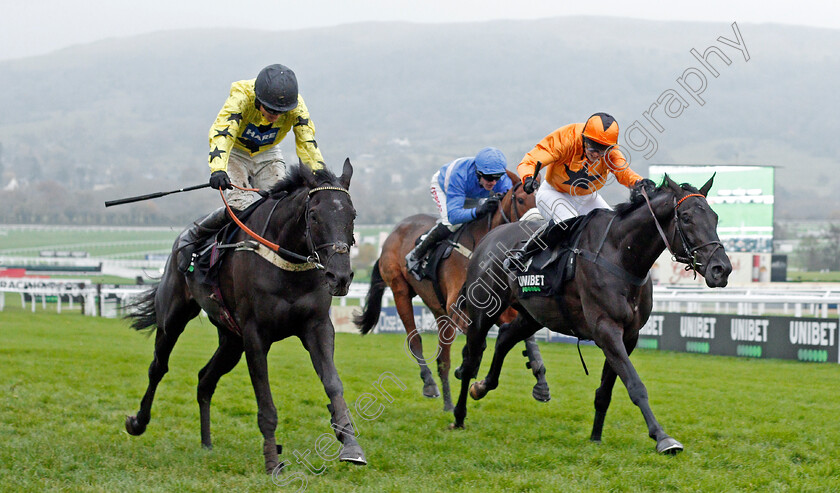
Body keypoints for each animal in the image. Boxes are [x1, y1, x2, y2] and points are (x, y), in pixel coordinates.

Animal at [124, 159, 364, 472]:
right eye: (313, 215)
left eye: (352, 214)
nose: (340, 277)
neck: (286, 261)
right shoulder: (255, 335)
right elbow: (266, 403)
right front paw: (272, 460)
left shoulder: (317, 326)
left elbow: (333, 383)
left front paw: (350, 443)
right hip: (174, 318)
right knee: (158, 367)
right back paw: (138, 422)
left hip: (230, 340)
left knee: (205, 379)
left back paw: (206, 443)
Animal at [352, 170, 548, 412]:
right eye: (520, 200)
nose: (538, 229)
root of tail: (394, 232)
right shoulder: (459, 306)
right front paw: (467, 367)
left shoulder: (500, 307)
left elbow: (524, 335)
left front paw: (540, 381)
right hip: (400, 291)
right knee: (414, 340)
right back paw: (430, 384)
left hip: (438, 309)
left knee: (442, 358)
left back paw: (447, 403)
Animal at [450, 174, 732, 454]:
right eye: (686, 217)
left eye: (715, 217)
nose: (722, 269)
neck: (621, 255)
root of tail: (488, 238)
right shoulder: (606, 329)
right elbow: (635, 385)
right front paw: (663, 437)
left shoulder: (628, 335)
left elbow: (606, 391)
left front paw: (596, 436)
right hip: (482, 312)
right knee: (472, 359)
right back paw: (459, 415)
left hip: (534, 315)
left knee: (505, 337)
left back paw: (481, 387)